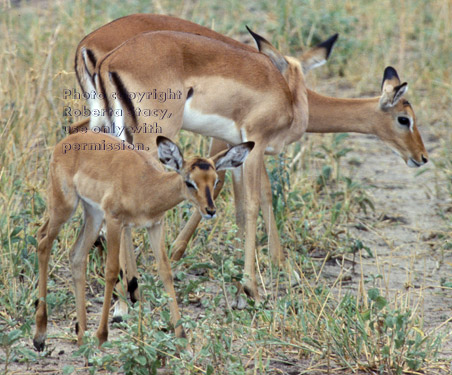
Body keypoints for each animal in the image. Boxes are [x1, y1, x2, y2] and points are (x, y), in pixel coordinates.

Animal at [34, 131, 254, 352]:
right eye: (190, 182)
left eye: (215, 180)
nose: (210, 210)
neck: (147, 184)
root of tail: (65, 141)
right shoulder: (115, 221)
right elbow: (112, 271)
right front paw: (102, 335)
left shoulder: (155, 225)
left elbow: (165, 272)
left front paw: (182, 340)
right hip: (65, 206)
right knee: (43, 241)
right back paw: (40, 337)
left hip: (93, 214)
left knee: (76, 255)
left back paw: (80, 338)